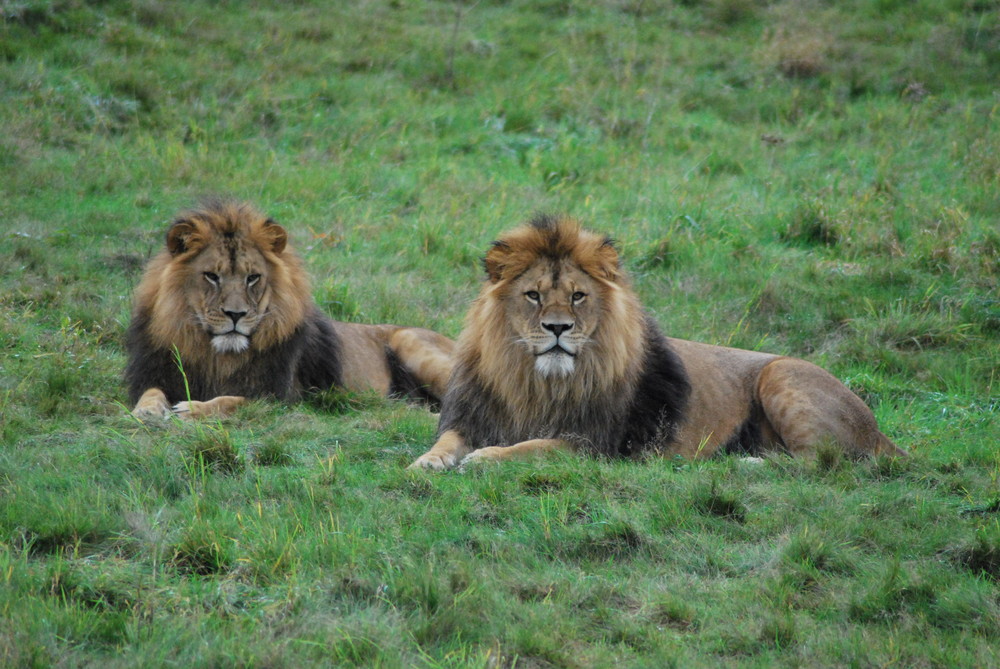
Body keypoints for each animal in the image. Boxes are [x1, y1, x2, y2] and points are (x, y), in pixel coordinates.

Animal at [128, 196, 454, 420]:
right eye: (211, 276)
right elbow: (150, 393)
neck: (217, 357)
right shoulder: (155, 374)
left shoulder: (278, 396)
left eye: (252, 277)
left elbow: (231, 400)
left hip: (413, 343)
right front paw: (146, 412)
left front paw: (191, 408)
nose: (236, 315)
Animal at [406, 214, 900, 470]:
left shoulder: (595, 445)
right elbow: (446, 442)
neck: (536, 383)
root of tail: (879, 432)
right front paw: (427, 462)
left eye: (578, 296)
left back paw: (746, 463)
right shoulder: (470, 417)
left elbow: (532, 447)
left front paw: (486, 458)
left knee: (822, 461)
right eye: (533, 295)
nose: (558, 328)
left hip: (782, 373)